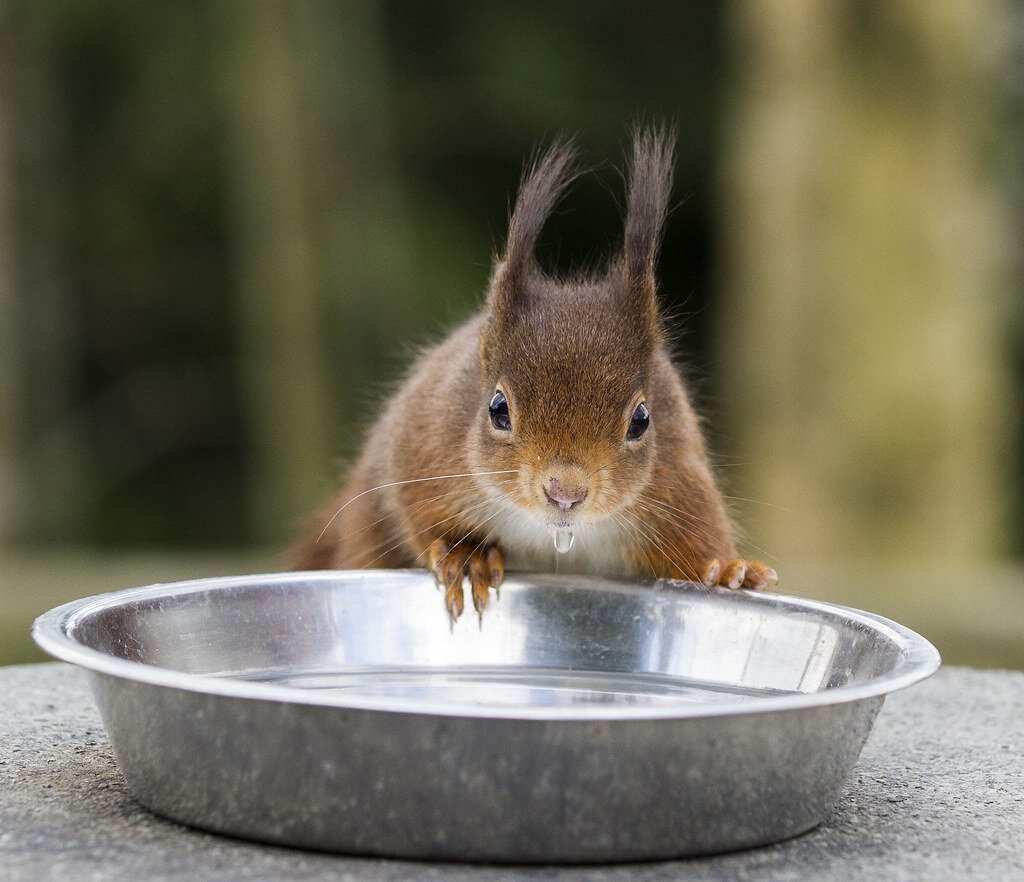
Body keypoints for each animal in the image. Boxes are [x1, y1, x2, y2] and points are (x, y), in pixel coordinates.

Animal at [292, 123, 778, 622]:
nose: (565, 494)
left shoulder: (677, 476)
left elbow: (694, 537)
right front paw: (466, 556)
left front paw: (726, 570)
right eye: (497, 409)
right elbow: (423, 514)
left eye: (642, 420)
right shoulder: (425, 446)